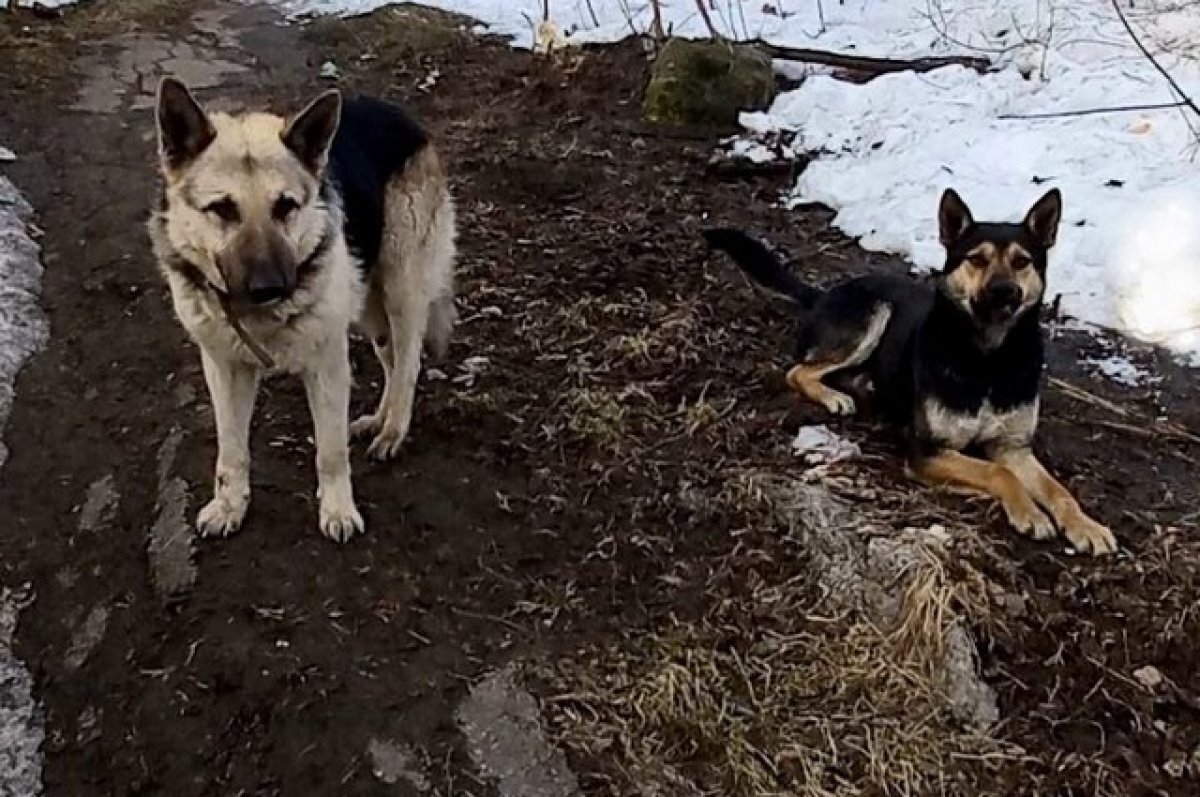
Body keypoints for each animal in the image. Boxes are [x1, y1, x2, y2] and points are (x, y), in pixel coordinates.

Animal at [146, 79, 453, 542]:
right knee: (390, 360)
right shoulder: (224, 368)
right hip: (368, 305)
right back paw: (376, 420)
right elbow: (230, 449)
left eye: (285, 206)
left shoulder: (327, 364)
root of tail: (400, 116)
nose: (271, 288)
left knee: (408, 364)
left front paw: (339, 510)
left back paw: (393, 431)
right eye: (222, 209)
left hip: (401, 292)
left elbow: (330, 450)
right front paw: (229, 505)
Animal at [705, 189, 1118, 556]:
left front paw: (1086, 526)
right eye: (976, 259)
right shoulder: (928, 452)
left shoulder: (1012, 447)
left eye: (1022, 261)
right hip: (875, 312)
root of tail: (824, 293)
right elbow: (997, 473)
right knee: (798, 371)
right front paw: (1030, 513)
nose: (1004, 292)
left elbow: (1057, 489)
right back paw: (835, 396)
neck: (988, 359)